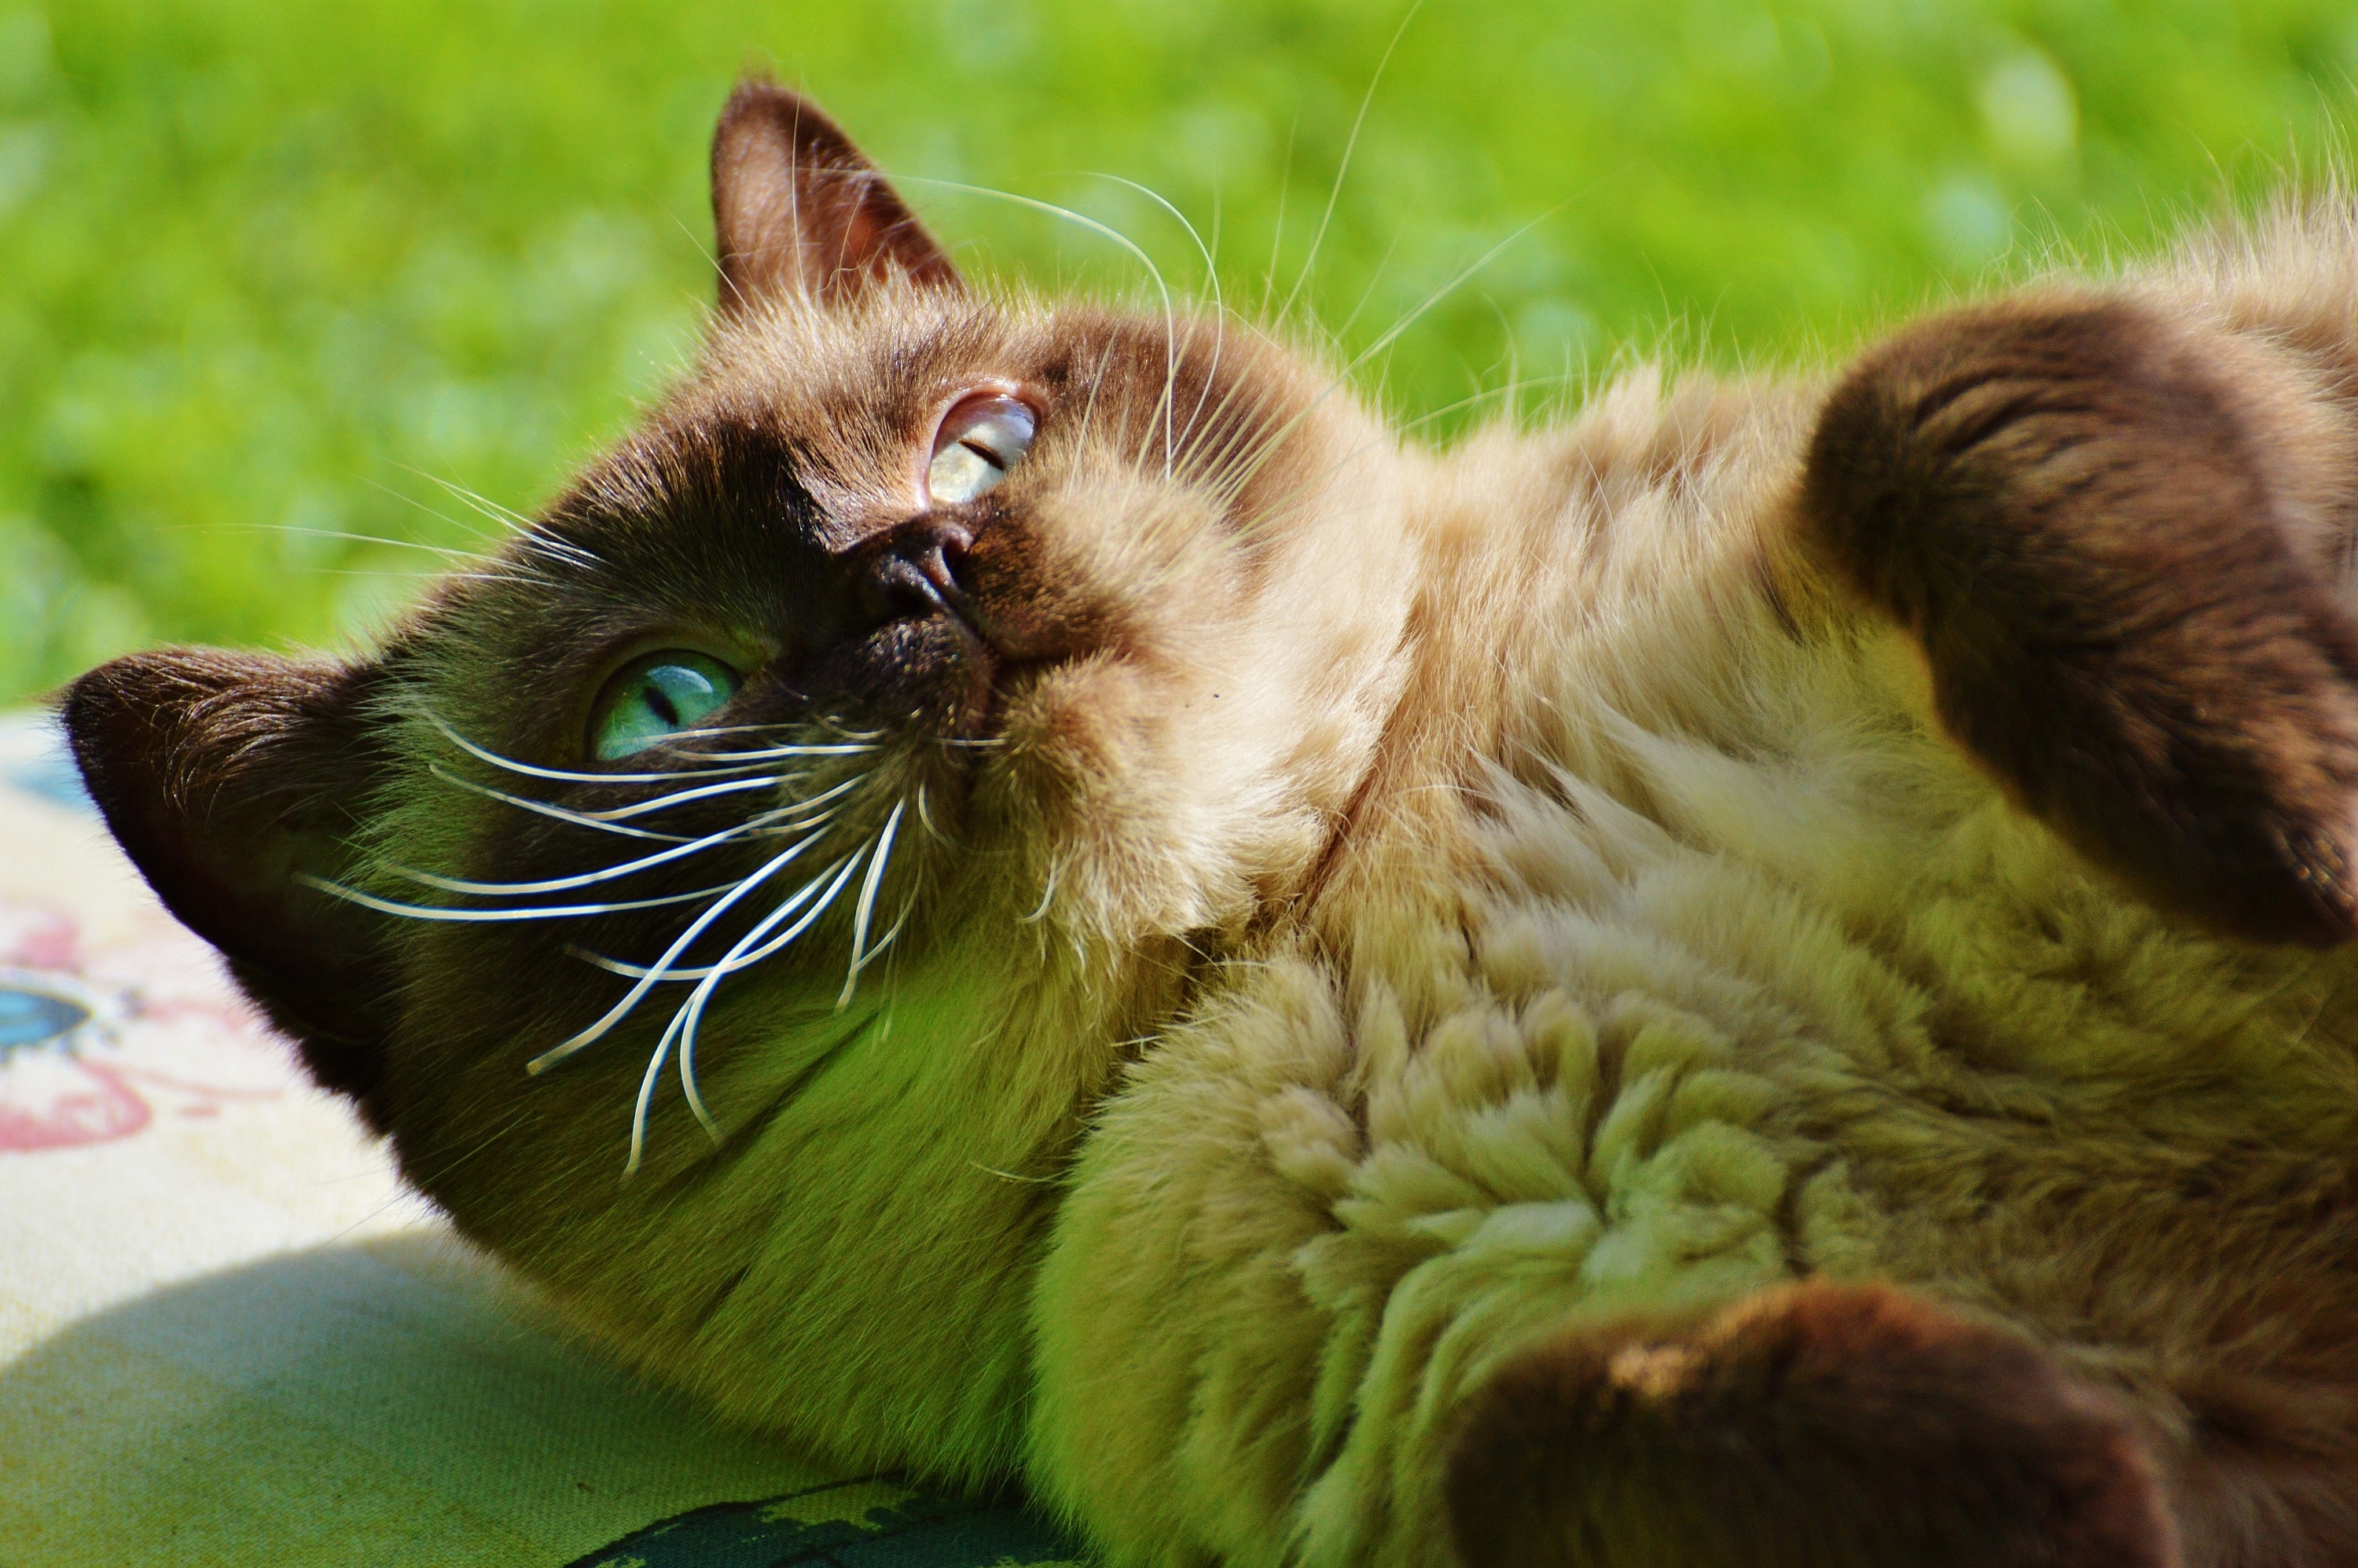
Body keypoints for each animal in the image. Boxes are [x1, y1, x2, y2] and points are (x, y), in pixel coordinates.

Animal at [50, 76, 2358, 1566]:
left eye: (978, 446)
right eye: (665, 707)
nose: (919, 583)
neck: (1314, 936)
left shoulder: (2073, 392)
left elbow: (1925, 413)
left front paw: (2300, 834)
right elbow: (1562, 1440)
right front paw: (2047, 1468)